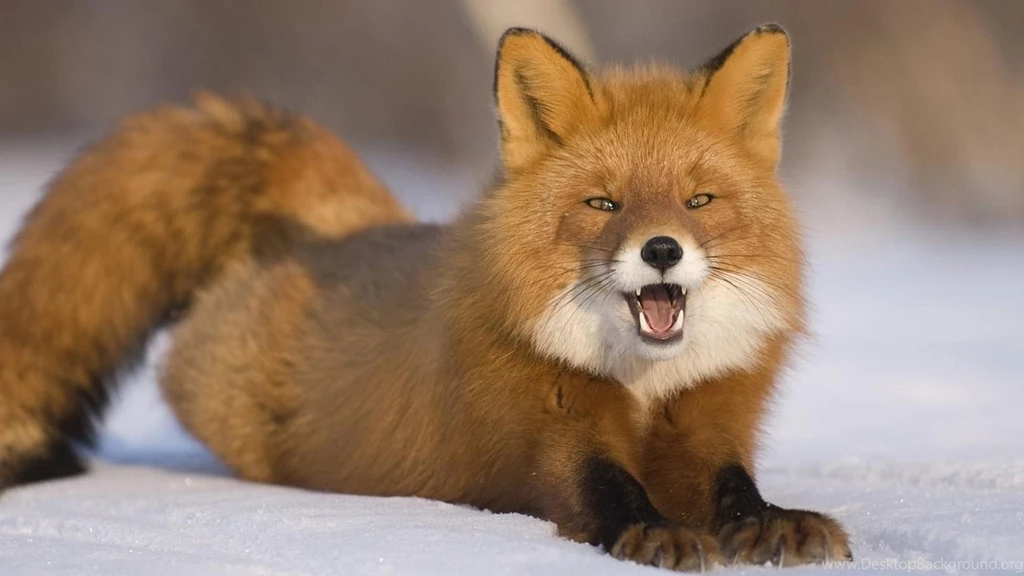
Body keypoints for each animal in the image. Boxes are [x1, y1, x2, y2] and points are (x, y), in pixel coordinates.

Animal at [0, 25, 850, 570]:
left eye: (699, 200)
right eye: (603, 204)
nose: (662, 249)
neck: (642, 383)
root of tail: (344, 228)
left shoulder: (709, 415)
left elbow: (732, 486)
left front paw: (771, 525)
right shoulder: (544, 426)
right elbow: (604, 488)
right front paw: (655, 534)